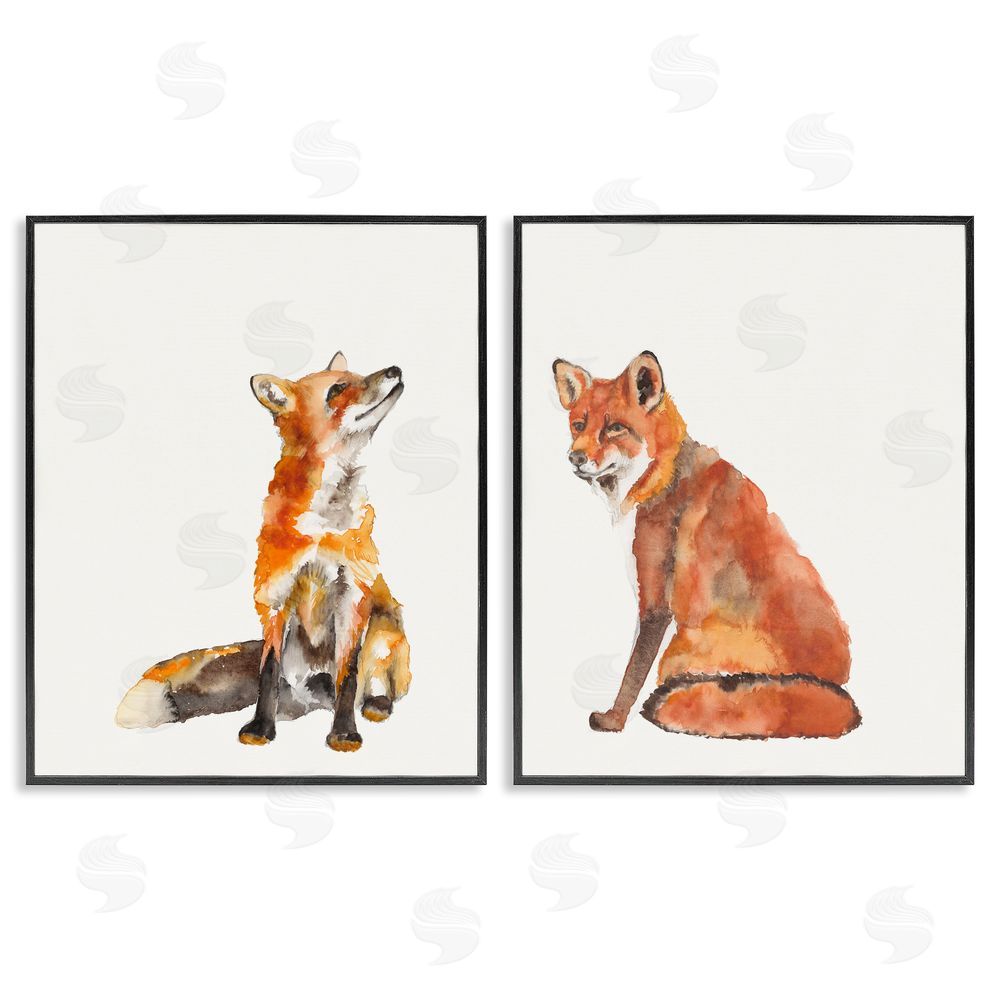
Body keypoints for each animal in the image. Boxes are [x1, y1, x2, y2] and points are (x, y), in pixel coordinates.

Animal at [115, 352, 411, 752]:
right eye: (338, 388)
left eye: (359, 375)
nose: (395, 369)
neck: (322, 526)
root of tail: (313, 697)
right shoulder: (275, 594)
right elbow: (267, 671)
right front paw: (260, 728)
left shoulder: (353, 591)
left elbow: (348, 674)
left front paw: (343, 733)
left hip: (384, 629)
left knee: (368, 680)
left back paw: (375, 703)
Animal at [552, 350, 860, 740]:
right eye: (579, 425)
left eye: (615, 428)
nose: (575, 458)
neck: (659, 475)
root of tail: (841, 693)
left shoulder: (655, 600)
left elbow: (632, 674)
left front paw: (613, 721)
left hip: (681, 649)